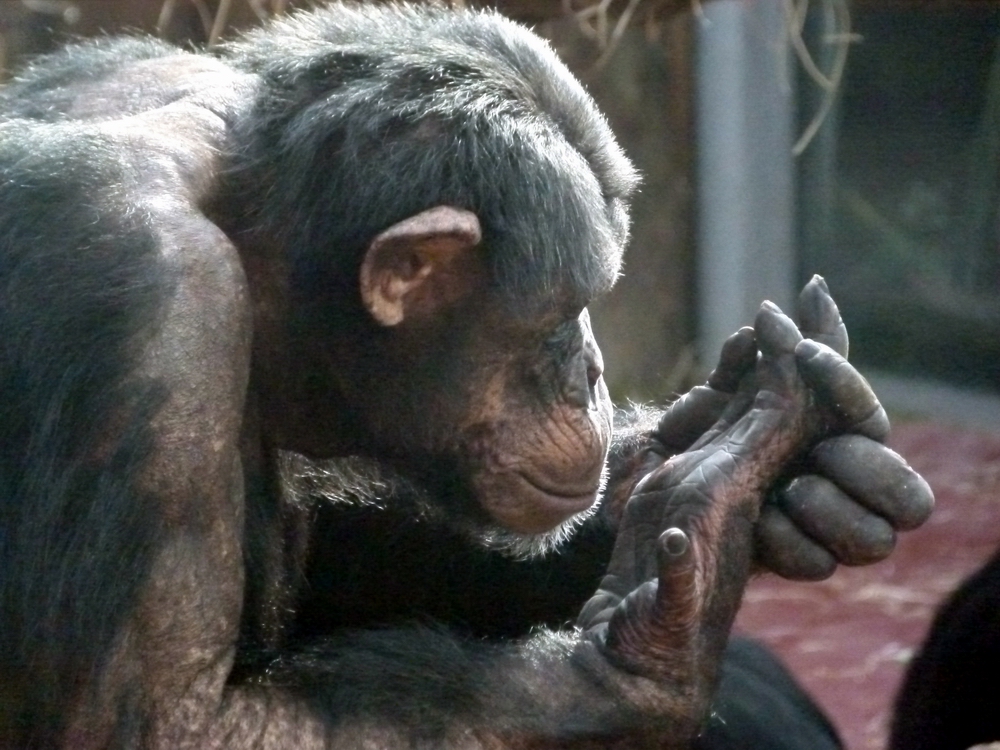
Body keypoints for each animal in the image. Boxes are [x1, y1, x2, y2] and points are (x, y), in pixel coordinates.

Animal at [1, 2, 936, 748]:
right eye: (565, 312)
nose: (593, 370)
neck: (257, 250)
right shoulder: (141, 301)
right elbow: (160, 725)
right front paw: (660, 618)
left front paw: (736, 466)